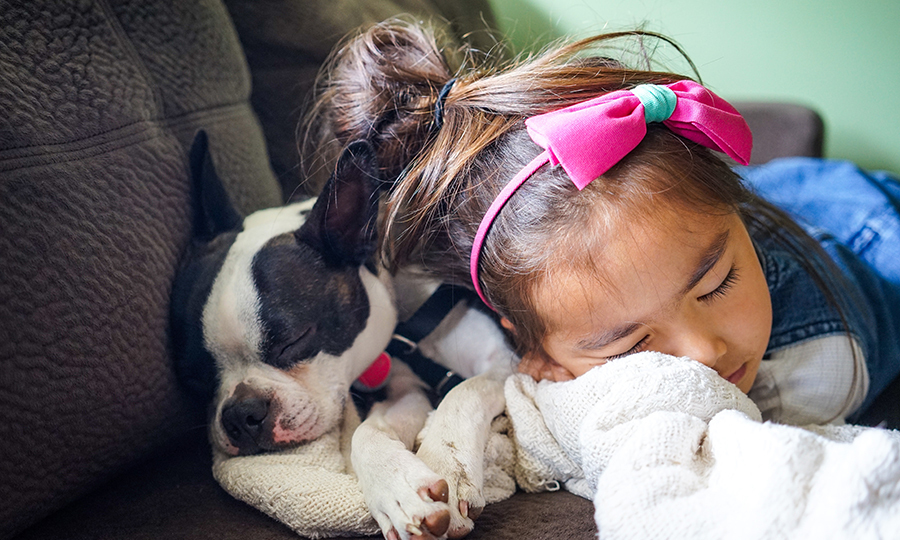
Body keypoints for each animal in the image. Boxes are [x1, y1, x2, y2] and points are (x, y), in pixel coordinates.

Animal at [171, 132, 512, 540]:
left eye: (293, 340)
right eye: (194, 378)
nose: (241, 413)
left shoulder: (506, 360)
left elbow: (465, 392)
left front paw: (447, 464)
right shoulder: (402, 387)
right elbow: (365, 432)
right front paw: (397, 490)